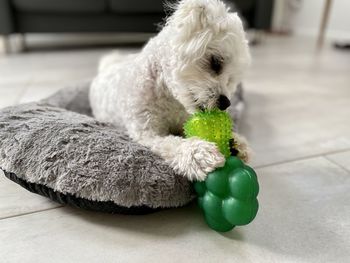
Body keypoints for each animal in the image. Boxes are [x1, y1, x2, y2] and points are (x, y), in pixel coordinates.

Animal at [89, 0, 250, 182]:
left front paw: (236, 143)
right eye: (216, 63)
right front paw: (198, 154)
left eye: (230, 80)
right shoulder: (147, 132)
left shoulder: (183, 121)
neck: (169, 98)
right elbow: (170, 143)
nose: (225, 102)